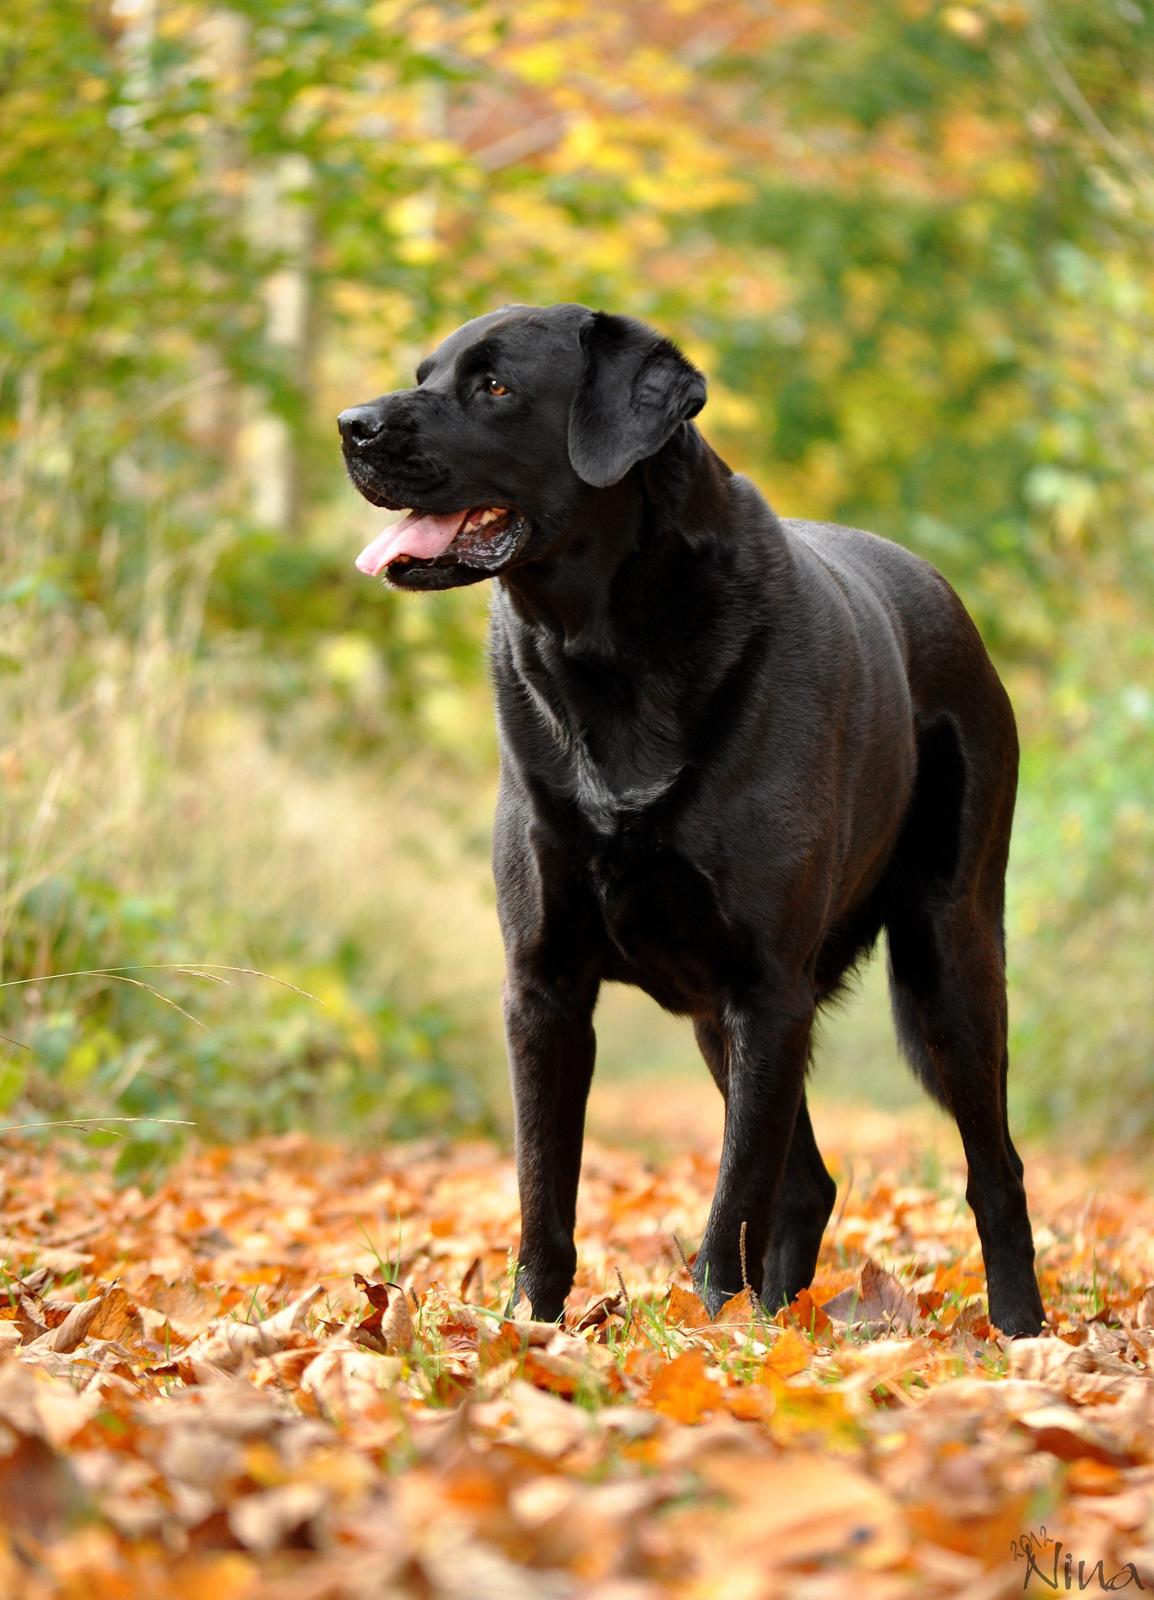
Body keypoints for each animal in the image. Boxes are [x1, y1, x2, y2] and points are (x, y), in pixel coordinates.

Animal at [339, 302, 1043, 1337]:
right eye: (424, 373)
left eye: (495, 386)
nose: (351, 424)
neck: (606, 658)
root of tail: (950, 601)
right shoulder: (545, 988)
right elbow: (544, 1189)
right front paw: (530, 1334)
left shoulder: (766, 986)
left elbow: (730, 1201)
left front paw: (703, 1340)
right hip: (730, 1016)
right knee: (809, 1186)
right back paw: (779, 1322)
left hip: (945, 961)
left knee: (993, 1169)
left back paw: (1021, 1333)